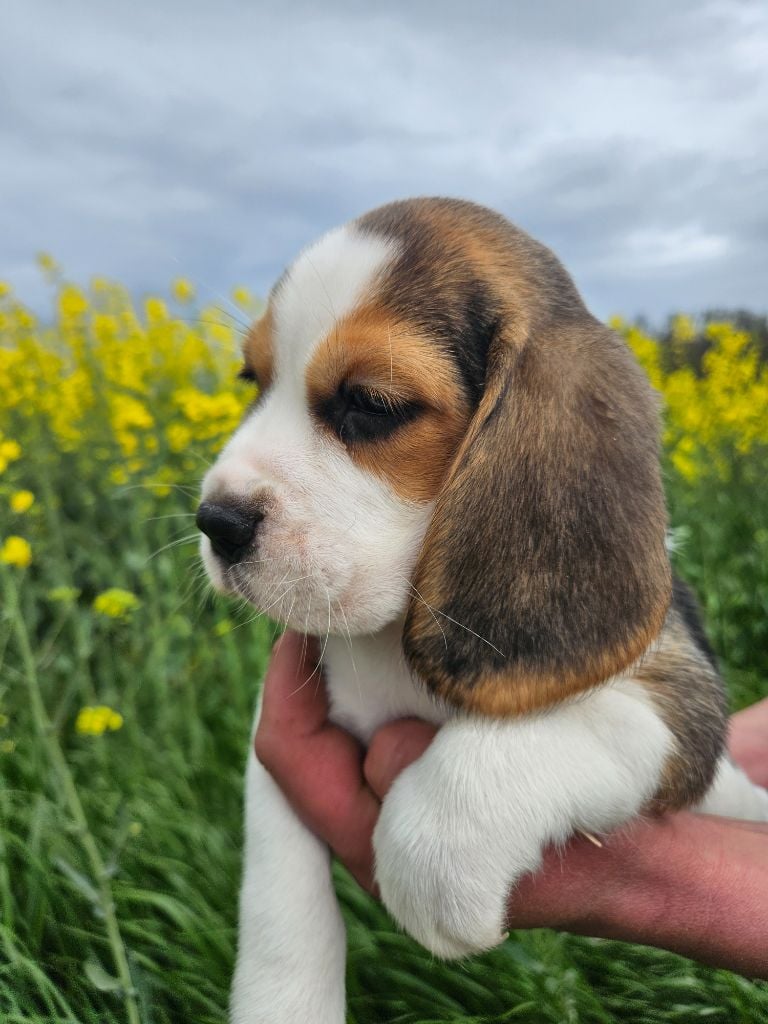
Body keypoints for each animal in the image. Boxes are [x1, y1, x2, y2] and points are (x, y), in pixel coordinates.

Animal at [198, 195, 768, 1019]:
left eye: (371, 404)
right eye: (252, 379)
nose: (216, 521)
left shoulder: (680, 705)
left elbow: (518, 748)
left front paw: (434, 865)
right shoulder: (274, 741)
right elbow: (279, 888)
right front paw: (283, 1002)